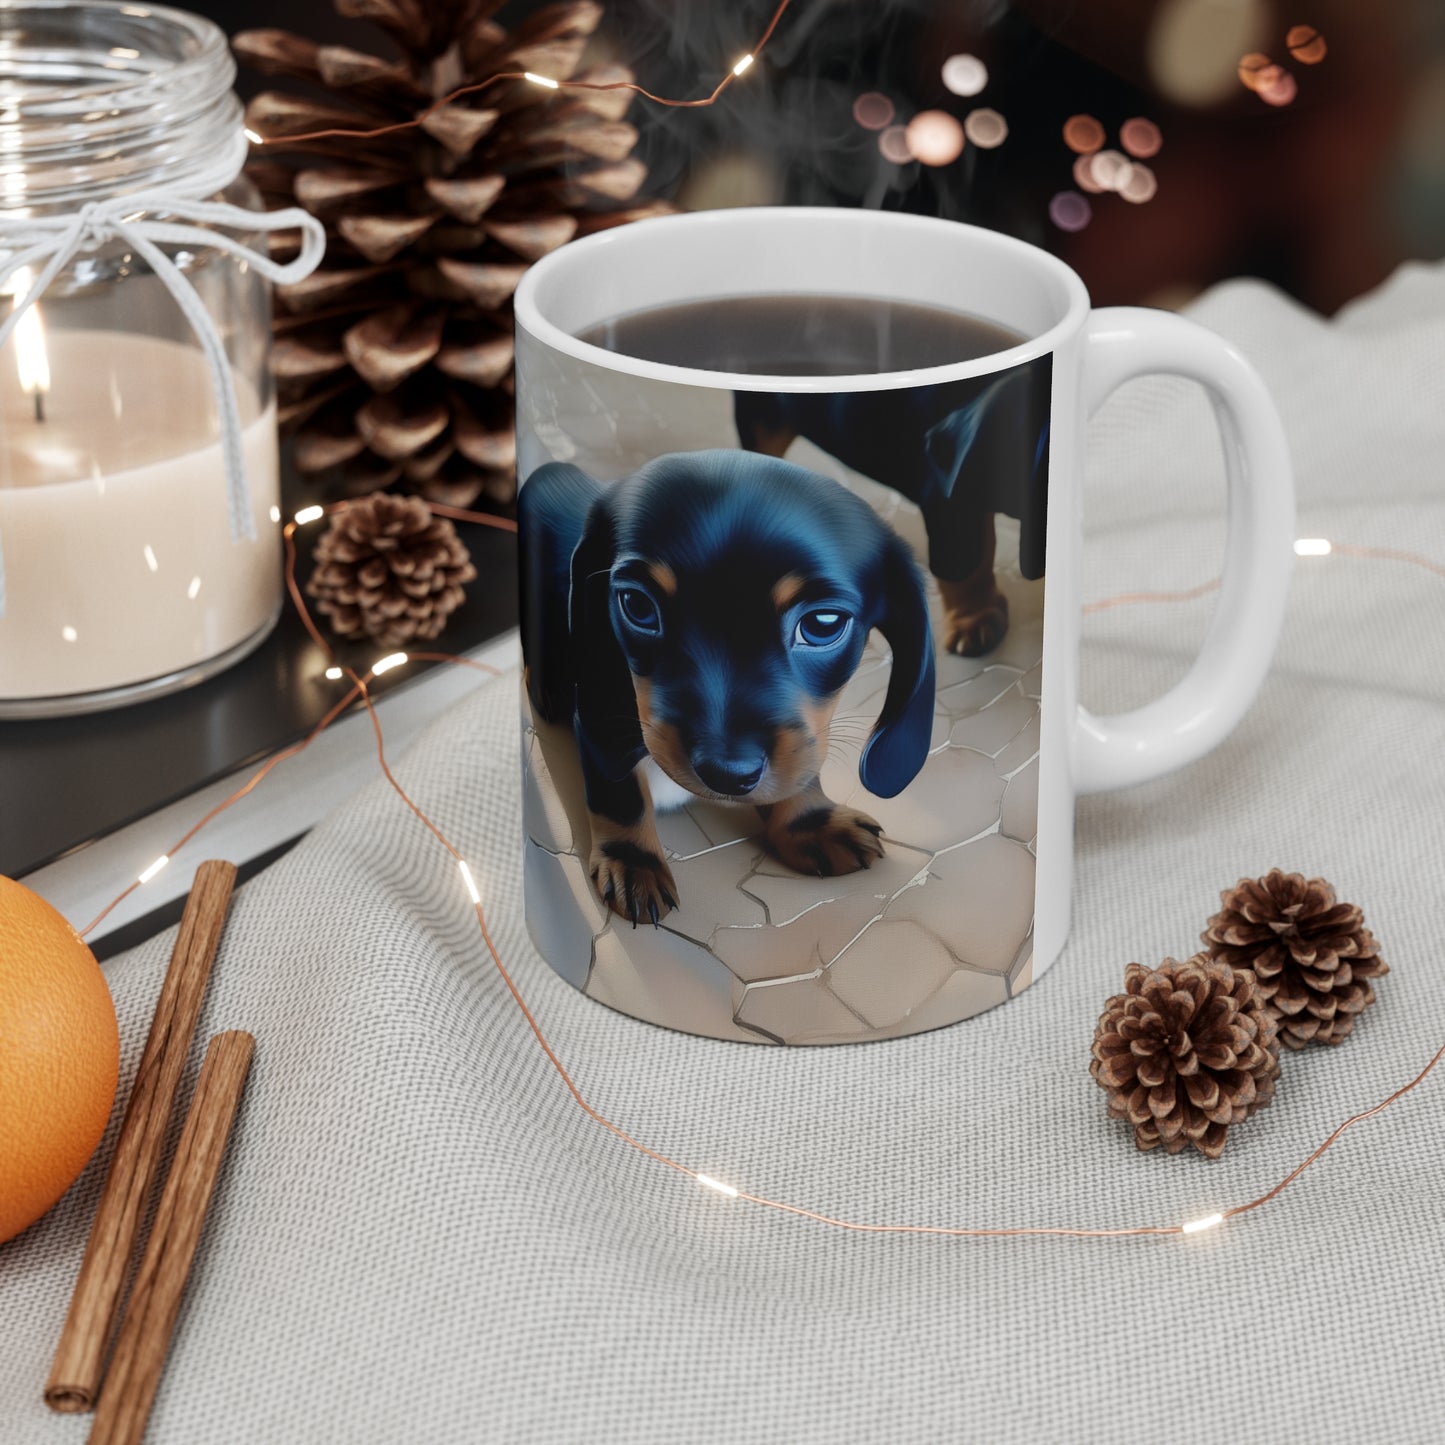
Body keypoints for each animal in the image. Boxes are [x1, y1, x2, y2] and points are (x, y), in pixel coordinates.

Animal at [523, 447, 936, 924]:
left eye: (823, 623)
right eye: (637, 605)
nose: (726, 774)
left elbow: (801, 766)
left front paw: (810, 821)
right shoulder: (600, 708)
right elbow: (619, 791)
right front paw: (633, 860)